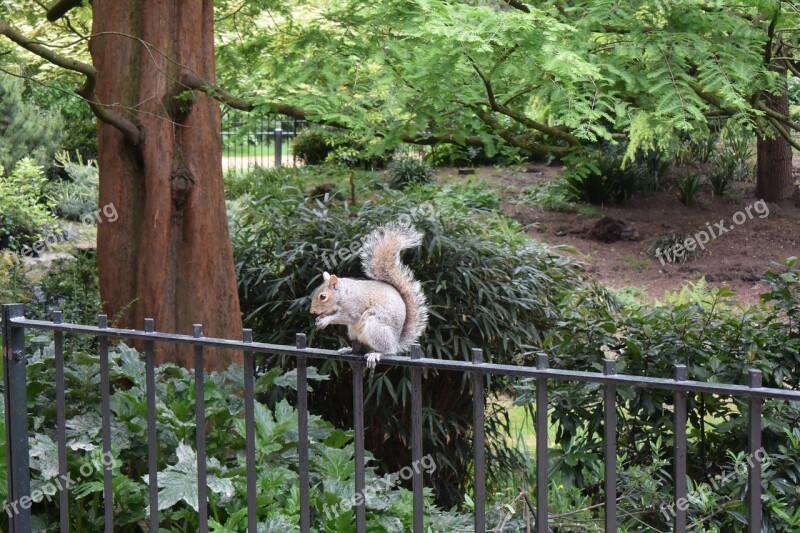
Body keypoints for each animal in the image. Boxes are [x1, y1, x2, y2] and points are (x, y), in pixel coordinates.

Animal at [310, 222, 428, 368]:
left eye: (323, 297)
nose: (312, 311)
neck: (344, 294)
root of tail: (395, 341)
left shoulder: (354, 307)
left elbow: (347, 317)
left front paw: (326, 320)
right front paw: (319, 318)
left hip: (376, 327)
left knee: (387, 350)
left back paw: (377, 354)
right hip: (354, 332)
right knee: (362, 348)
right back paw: (349, 349)